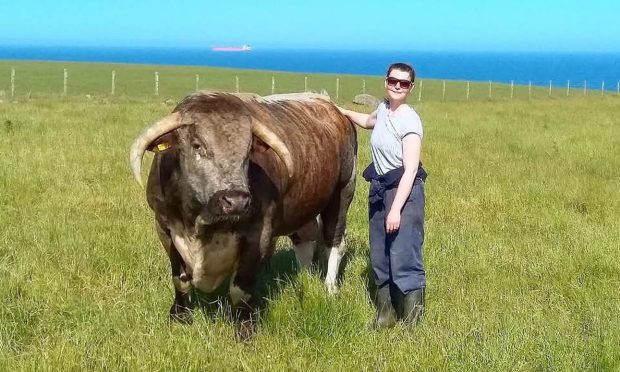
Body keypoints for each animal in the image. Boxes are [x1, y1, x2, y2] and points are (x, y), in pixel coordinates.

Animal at [128, 91, 356, 338]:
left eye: (248, 151)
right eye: (197, 145)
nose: (236, 200)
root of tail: (331, 106)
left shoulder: (259, 233)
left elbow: (241, 288)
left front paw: (245, 330)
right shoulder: (164, 227)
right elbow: (180, 280)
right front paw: (179, 317)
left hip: (342, 193)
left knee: (334, 241)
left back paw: (329, 288)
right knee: (304, 242)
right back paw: (305, 277)